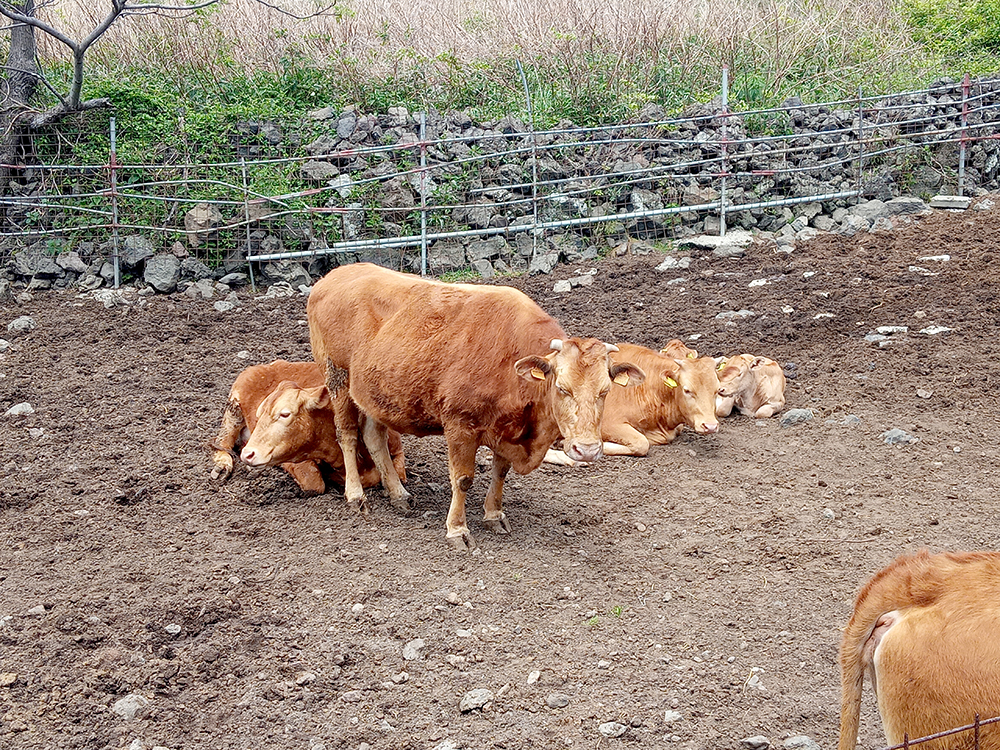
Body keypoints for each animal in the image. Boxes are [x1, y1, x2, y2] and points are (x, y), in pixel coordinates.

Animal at [212, 358, 406, 506]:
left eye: (285, 414)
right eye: (259, 415)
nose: (248, 454)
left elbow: (399, 474)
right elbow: (314, 482)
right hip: (233, 409)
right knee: (222, 442)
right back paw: (223, 465)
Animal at [308, 264, 644, 552]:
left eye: (605, 391)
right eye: (562, 388)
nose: (586, 450)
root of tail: (332, 277)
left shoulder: (507, 429)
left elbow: (500, 473)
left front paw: (494, 515)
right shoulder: (460, 424)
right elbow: (463, 479)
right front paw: (457, 530)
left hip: (375, 393)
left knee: (374, 436)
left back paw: (399, 494)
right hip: (336, 374)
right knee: (347, 435)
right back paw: (356, 496)